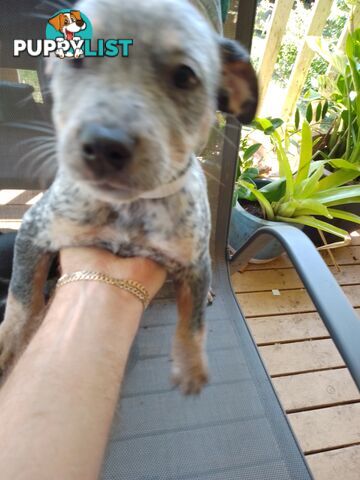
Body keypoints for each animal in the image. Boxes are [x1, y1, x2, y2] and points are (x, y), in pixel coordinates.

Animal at [0, 0, 258, 394]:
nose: (104, 145)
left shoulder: (194, 260)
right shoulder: (33, 230)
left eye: (185, 76)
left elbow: (194, 320)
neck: (130, 208)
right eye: (76, 57)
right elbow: (21, 299)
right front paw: (8, 344)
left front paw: (191, 366)